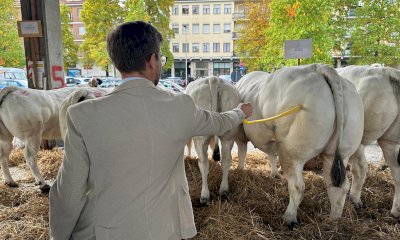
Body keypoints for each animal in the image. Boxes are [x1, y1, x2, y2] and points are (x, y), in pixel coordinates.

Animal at [236, 63, 364, 225]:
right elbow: (271, 155)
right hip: (339, 151)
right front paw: (274, 173)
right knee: (337, 185)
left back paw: (289, 218)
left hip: (292, 151)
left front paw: (240, 169)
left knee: (297, 186)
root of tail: (319, 68)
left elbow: (242, 151)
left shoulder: (242, 134)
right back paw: (333, 220)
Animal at [338, 65, 400, 218]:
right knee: (397, 172)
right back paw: (395, 211)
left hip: (361, 135)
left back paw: (354, 200)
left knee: (360, 167)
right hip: (390, 140)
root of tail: (386, 72)